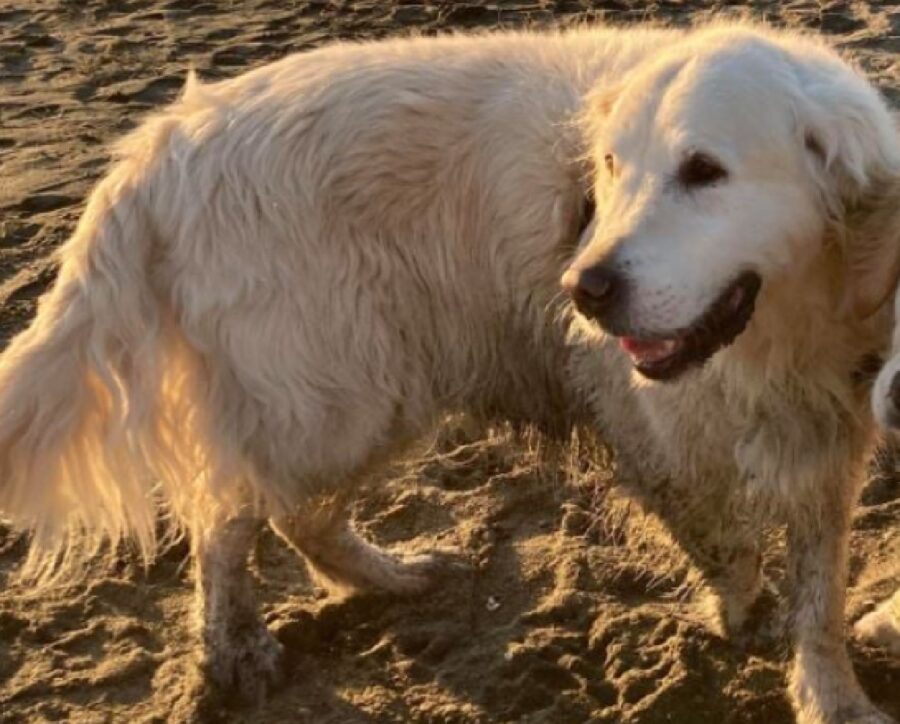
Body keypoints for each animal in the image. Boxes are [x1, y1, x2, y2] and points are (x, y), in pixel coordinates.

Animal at [1, 19, 900, 720]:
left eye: (705, 170)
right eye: (610, 167)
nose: (582, 288)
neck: (773, 334)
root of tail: (164, 142)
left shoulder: (829, 438)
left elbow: (818, 592)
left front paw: (832, 694)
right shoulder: (647, 428)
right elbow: (722, 540)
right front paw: (744, 610)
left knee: (294, 516)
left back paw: (388, 579)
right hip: (339, 394)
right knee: (232, 517)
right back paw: (240, 648)